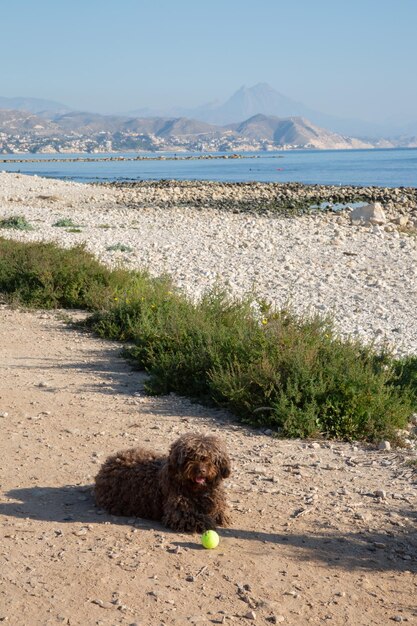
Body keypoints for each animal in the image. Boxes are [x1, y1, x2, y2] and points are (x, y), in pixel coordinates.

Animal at [93, 434, 231, 532]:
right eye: (189, 457)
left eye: (210, 458)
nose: (201, 470)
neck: (197, 491)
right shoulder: (178, 513)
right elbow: (200, 519)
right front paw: (210, 522)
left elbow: (220, 512)